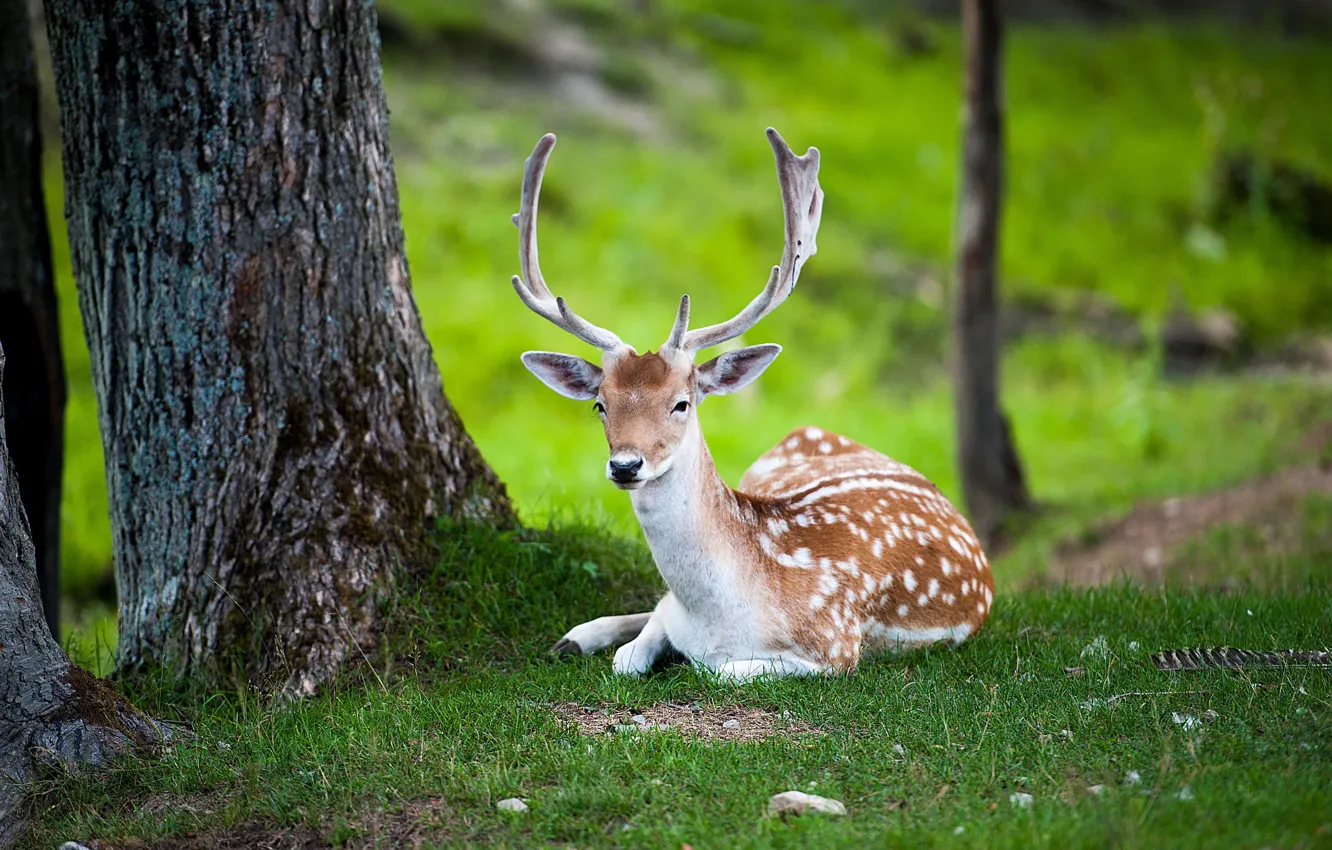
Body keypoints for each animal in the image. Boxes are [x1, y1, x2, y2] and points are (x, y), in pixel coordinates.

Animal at [510, 128, 993, 682]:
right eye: (600, 405)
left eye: (682, 403)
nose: (626, 465)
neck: (719, 614)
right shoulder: (673, 612)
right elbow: (632, 653)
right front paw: (595, 639)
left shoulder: (836, 647)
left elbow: (715, 669)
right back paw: (575, 636)